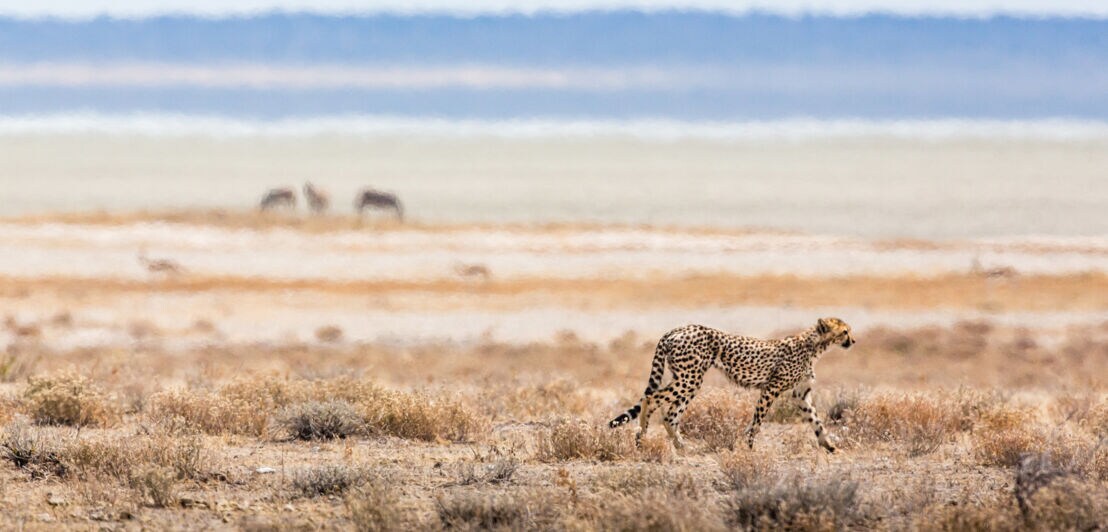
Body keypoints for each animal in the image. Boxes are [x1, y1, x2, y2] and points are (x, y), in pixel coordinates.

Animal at [607, 316, 855, 449]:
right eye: (845, 331)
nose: (853, 340)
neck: (814, 346)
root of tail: (676, 329)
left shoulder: (800, 394)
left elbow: (816, 421)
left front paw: (830, 446)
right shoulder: (771, 388)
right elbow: (757, 421)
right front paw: (749, 447)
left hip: (689, 379)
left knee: (670, 414)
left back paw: (680, 446)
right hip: (690, 378)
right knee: (651, 398)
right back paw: (641, 437)